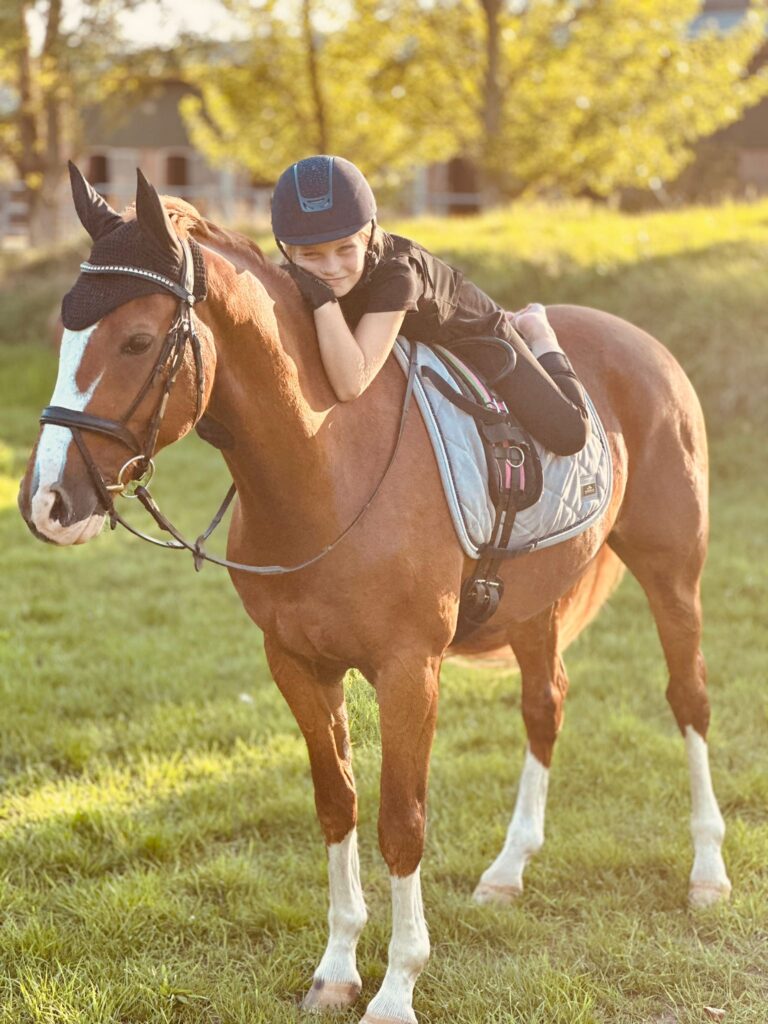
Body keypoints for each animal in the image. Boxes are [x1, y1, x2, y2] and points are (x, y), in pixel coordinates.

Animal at [15, 172, 729, 1019]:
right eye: (63, 335)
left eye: (134, 340)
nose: (47, 503)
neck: (325, 468)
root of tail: (646, 345)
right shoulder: (297, 666)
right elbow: (338, 803)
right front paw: (336, 970)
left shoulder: (409, 669)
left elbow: (401, 821)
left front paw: (396, 988)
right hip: (536, 604)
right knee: (545, 704)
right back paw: (507, 872)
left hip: (673, 571)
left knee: (688, 698)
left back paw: (708, 874)